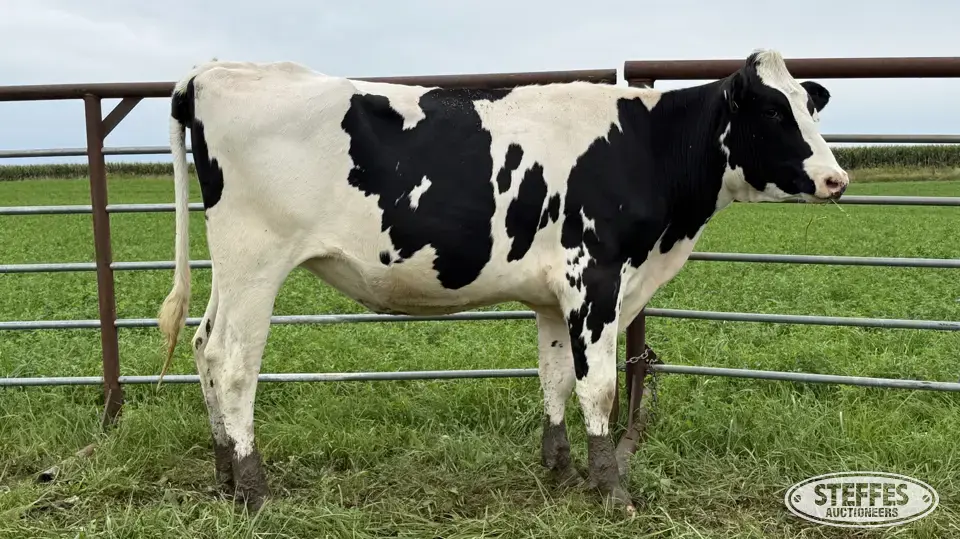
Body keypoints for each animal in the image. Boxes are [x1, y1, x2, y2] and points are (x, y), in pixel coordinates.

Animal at [157, 49, 848, 516]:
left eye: (809, 105)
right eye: (773, 111)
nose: (836, 179)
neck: (645, 147)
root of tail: (211, 73)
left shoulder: (553, 295)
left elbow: (555, 377)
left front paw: (560, 469)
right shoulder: (594, 277)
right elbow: (599, 387)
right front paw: (612, 490)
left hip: (230, 269)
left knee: (202, 346)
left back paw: (224, 471)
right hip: (256, 260)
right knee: (234, 362)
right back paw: (253, 488)